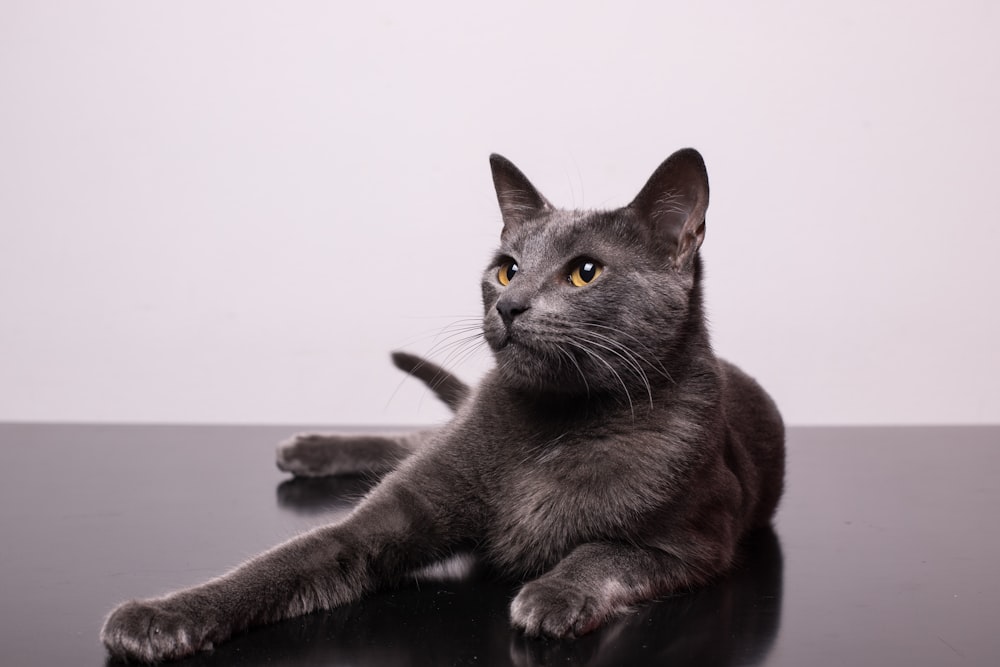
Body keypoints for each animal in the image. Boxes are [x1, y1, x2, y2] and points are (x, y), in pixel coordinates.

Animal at [103, 147, 788, 664]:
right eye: (507, 269)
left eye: (585, 272)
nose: (508, 305)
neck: (556, 423)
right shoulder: (388, 517)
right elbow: (283, 561)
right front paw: (159, 616)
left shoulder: (700, 541)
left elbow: (607, 551)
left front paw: (551, 596)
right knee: (415, 441)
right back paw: (306, 448)